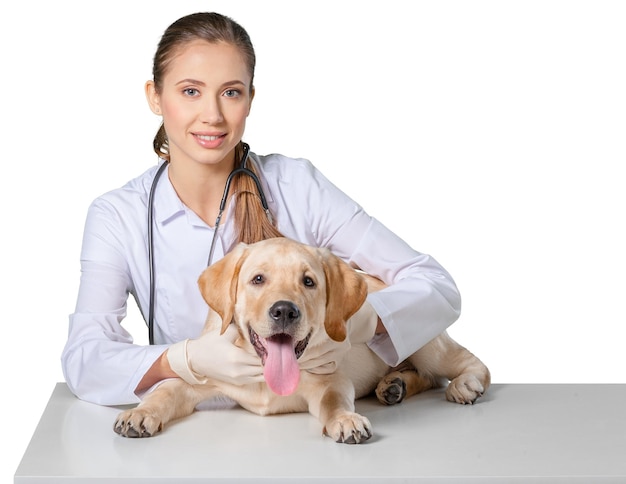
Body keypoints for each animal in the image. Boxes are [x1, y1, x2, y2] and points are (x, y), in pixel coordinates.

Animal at [114, 236, 490, 444]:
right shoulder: (199, 376)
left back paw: (464, 385)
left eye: (309, 282)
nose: (284, 311)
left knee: (465, 365)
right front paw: (139, 414)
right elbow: (165, 390)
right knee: (428, 378)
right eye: (258, 279)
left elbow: (334, 401)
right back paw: (393, 385)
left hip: (426, 342)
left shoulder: (330, 381)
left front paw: (345, 420)